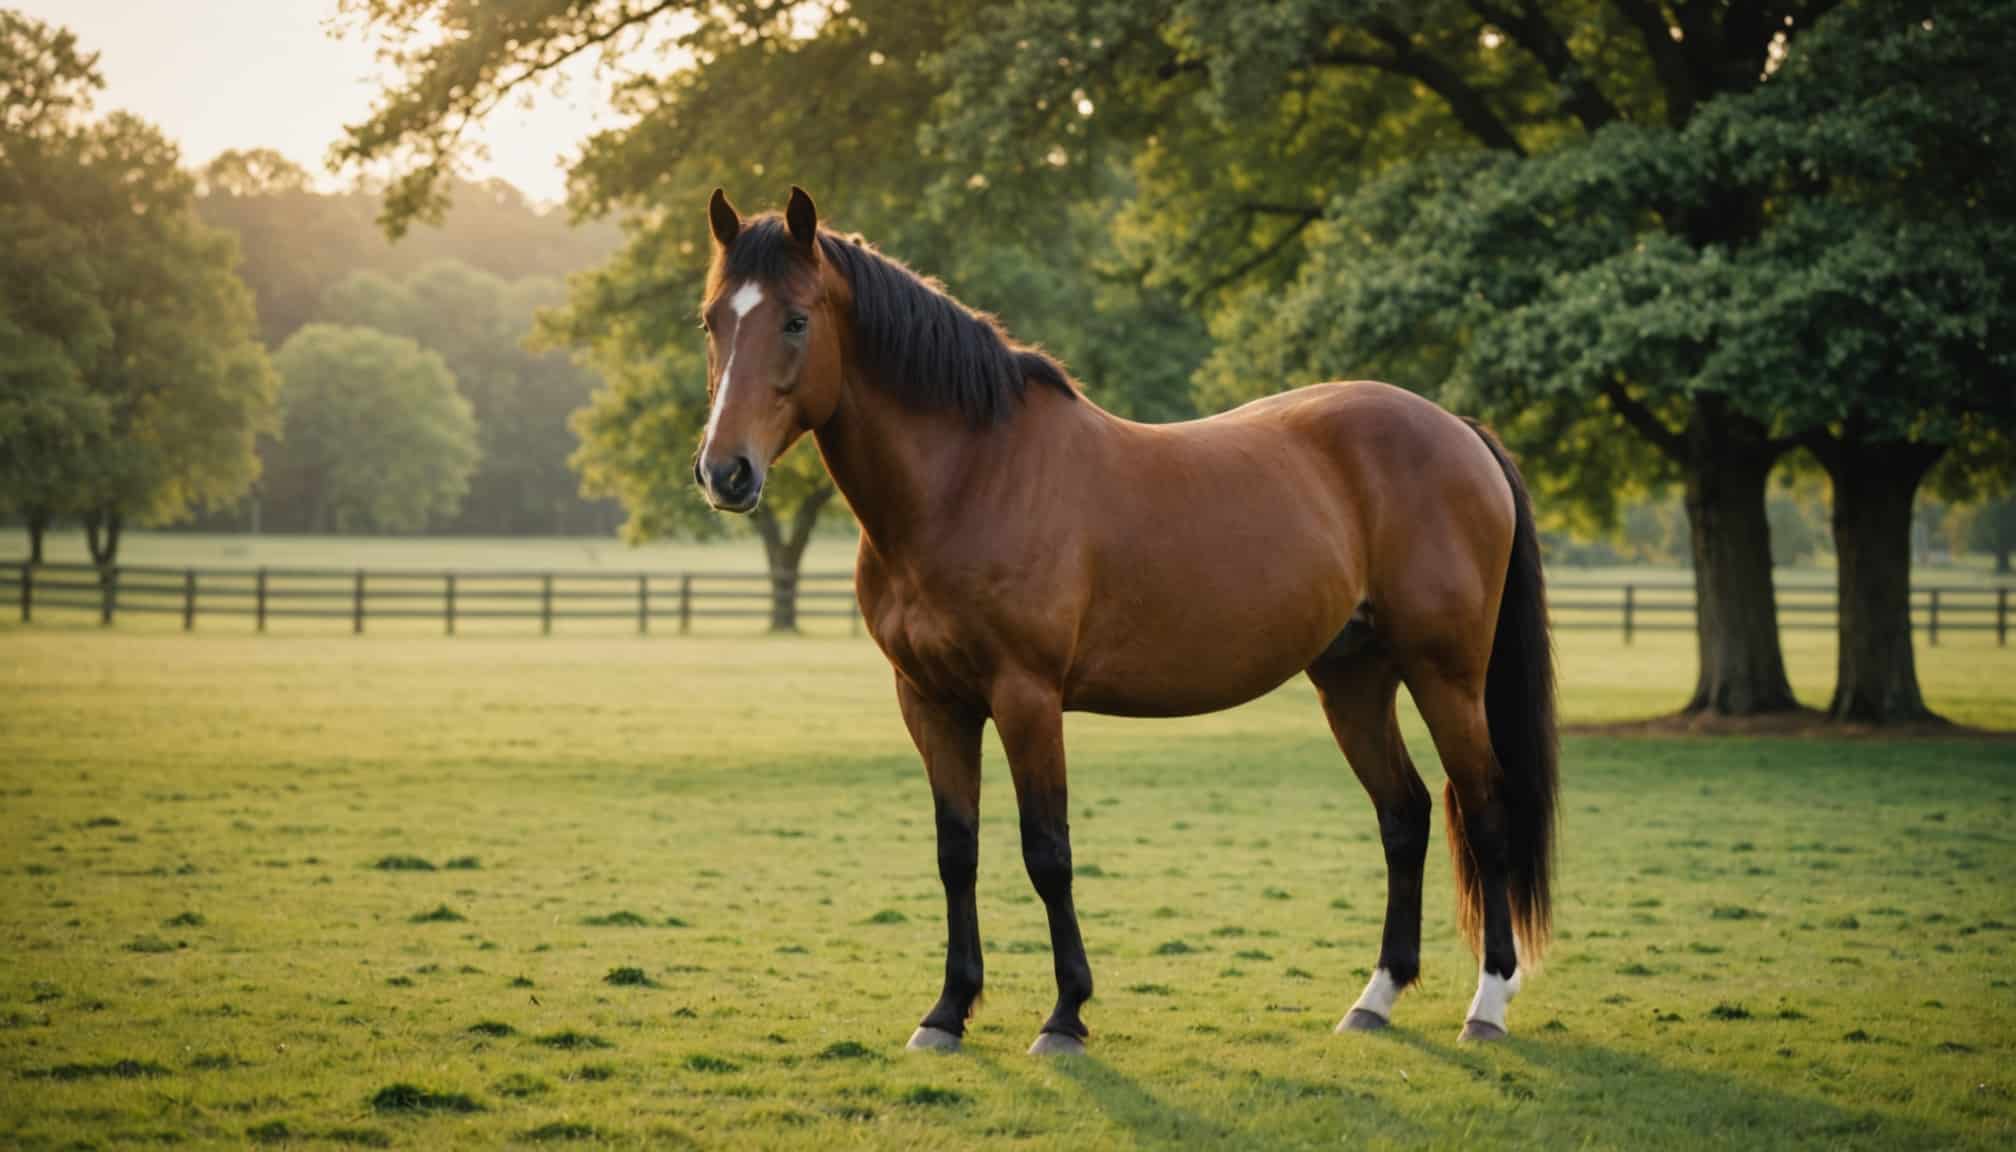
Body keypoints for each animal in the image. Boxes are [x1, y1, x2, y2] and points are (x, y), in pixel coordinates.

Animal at [693, 186, 1556, 1057]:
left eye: (796, 320)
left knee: (1486, 815)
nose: (725, 472)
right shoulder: (931, 702)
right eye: (711, 322)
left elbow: (1047, 853)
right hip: (1353, 680)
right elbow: (956, 851)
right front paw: (947, 1011)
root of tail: (1459, 430)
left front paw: (1065, 1015)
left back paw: (1487, 1005)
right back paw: (1375, 998)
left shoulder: (1027, 698)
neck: (971, 478)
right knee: (1404, 815)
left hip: (1445, 678)